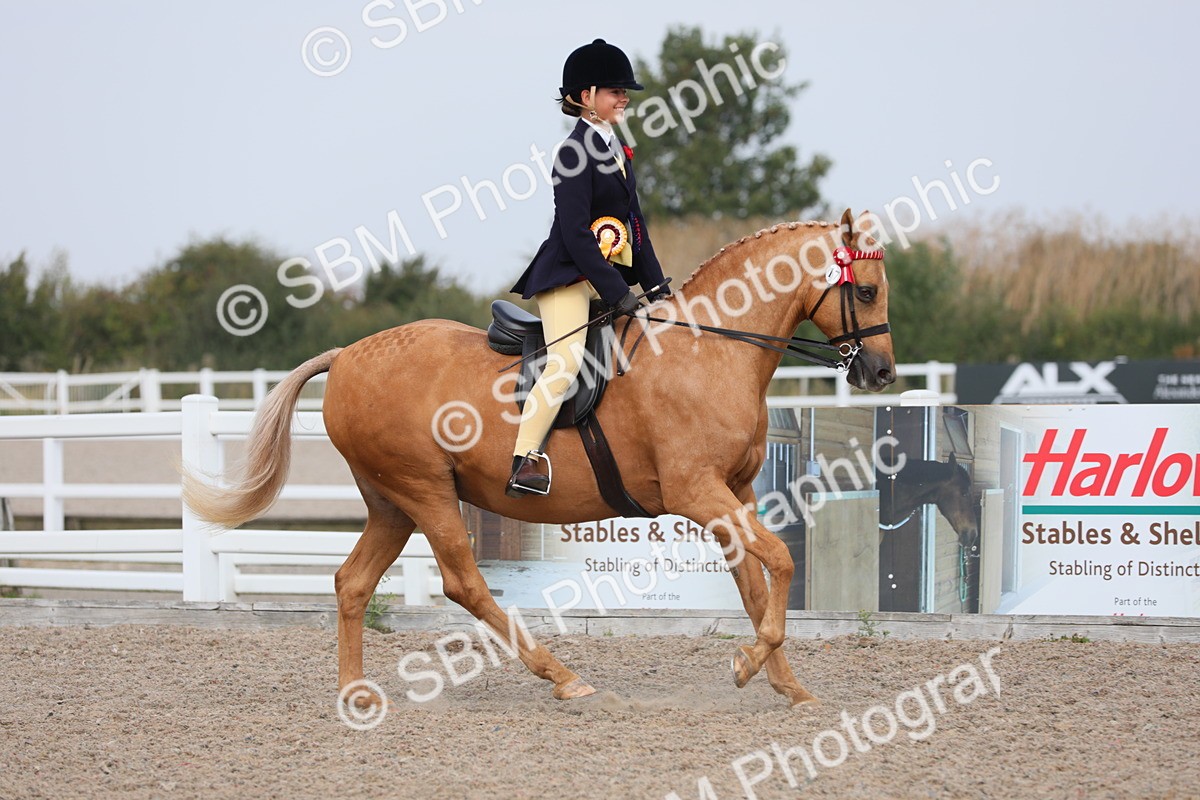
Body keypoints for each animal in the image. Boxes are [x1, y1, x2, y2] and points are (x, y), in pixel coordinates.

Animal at [183, 209, 896, 709]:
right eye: (864, 292)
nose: (883, 373)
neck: (708, 352)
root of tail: (348, 355)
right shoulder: (697, 493)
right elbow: (779, 563)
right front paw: (750, 666)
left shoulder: (735, 493)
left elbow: (754, 584)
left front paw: (787, 685)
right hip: (425, 491)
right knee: (464, 584)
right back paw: (562, 676)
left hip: (391, 502)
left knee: (352, 583)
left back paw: (354, 694)